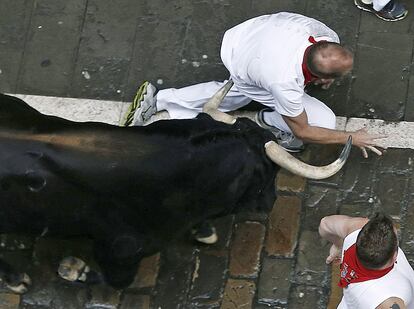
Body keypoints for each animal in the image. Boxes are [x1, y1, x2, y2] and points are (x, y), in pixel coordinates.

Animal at [0, 91, 350, 288]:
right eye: (268, 171)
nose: (270, 202)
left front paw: (204, 231)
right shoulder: (119, 252)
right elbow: (116, 283)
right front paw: (72, 269)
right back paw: (17, 280)